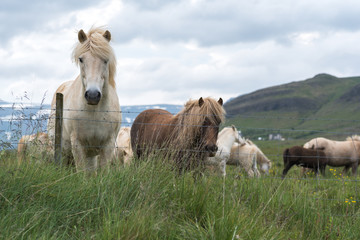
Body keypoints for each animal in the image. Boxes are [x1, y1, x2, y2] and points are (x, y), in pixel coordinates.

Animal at [47, 27, 121, 172]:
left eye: (106, 60)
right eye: (81, 59)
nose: (92, 95)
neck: (95, 112)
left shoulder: (108, 145)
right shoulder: (78, 144)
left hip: (91, 155)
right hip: (62, 150)